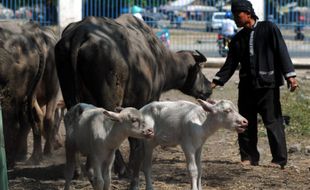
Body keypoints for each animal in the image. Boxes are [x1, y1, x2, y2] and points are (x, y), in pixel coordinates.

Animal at [54, 14, 212, 177]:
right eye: (200, 70)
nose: (209, 87)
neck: (158, 57)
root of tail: (81, 32)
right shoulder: (148, 99)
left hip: (70, 95)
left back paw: (78, 169)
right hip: (110, 99)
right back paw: (121, 168)